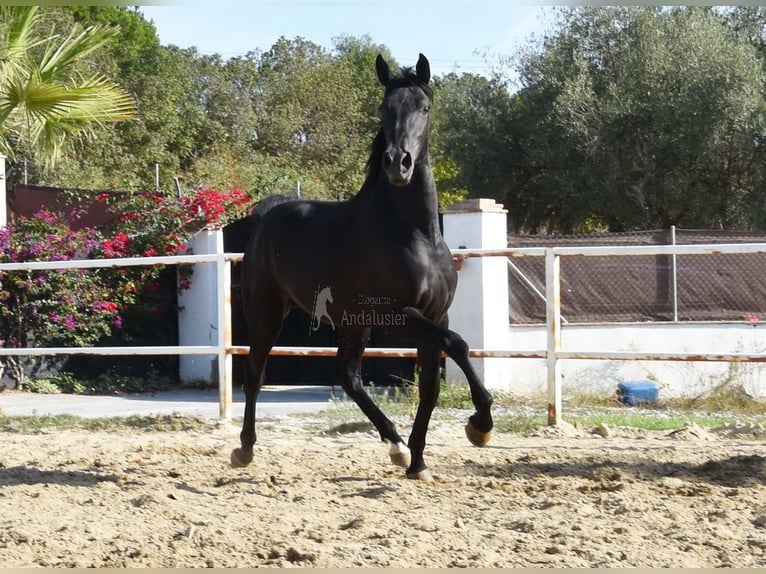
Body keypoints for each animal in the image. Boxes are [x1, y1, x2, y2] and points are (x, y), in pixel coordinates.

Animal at [234, 56, 496, 484]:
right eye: (384, 108)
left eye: (424, 107)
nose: (397, 164)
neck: (414, 234)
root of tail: (269, 215)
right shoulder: (399, 316)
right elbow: (457, 343)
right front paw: (480, 425)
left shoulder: (435, 315)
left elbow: (430, 387)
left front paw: (419, 462)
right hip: (267, 313)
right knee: (255, 372)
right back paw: (244, 449)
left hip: (351, 324)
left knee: (348, 375)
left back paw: (396, 447)